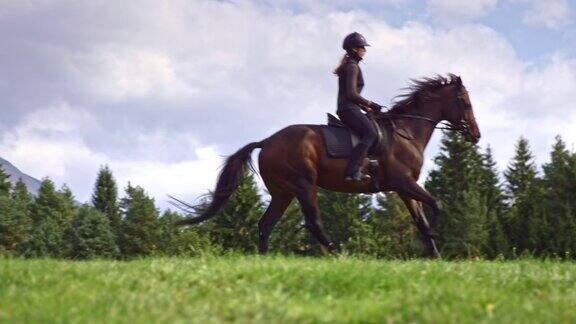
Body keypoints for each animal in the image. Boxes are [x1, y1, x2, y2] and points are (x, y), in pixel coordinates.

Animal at [176, 73, 482, 258]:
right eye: (465, 102)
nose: (476, 134)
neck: (407, 131)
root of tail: (267, 141)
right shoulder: (403, 182)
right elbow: (437, 205)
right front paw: (430, 238)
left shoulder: (406, 189)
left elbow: (421, 217)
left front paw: (434, 254)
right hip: (303, 184)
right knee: (313, 222)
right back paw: (338, 252)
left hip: (283, 192)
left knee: (266, 223)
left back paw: (264, 257)